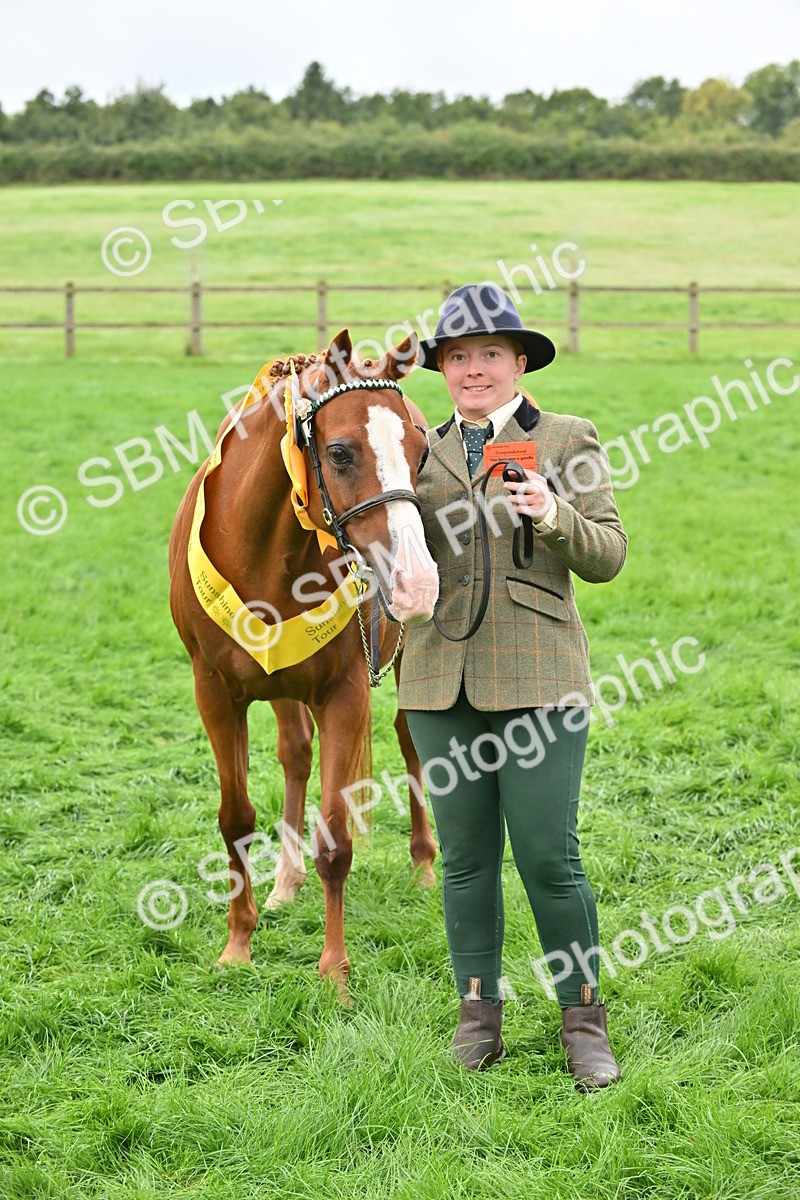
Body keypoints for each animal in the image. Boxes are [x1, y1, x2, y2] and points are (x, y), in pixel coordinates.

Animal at [168, 329, 439, 991]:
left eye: (420, 449)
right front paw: (238, 945)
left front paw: (335, 971)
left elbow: (336, 840)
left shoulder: (344, 693)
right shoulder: (215, 693)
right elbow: (236, 819)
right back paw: (285, 883)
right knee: (296, 754)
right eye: (339, 453)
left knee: (408, 741)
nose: (417, 580)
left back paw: (423, 865)